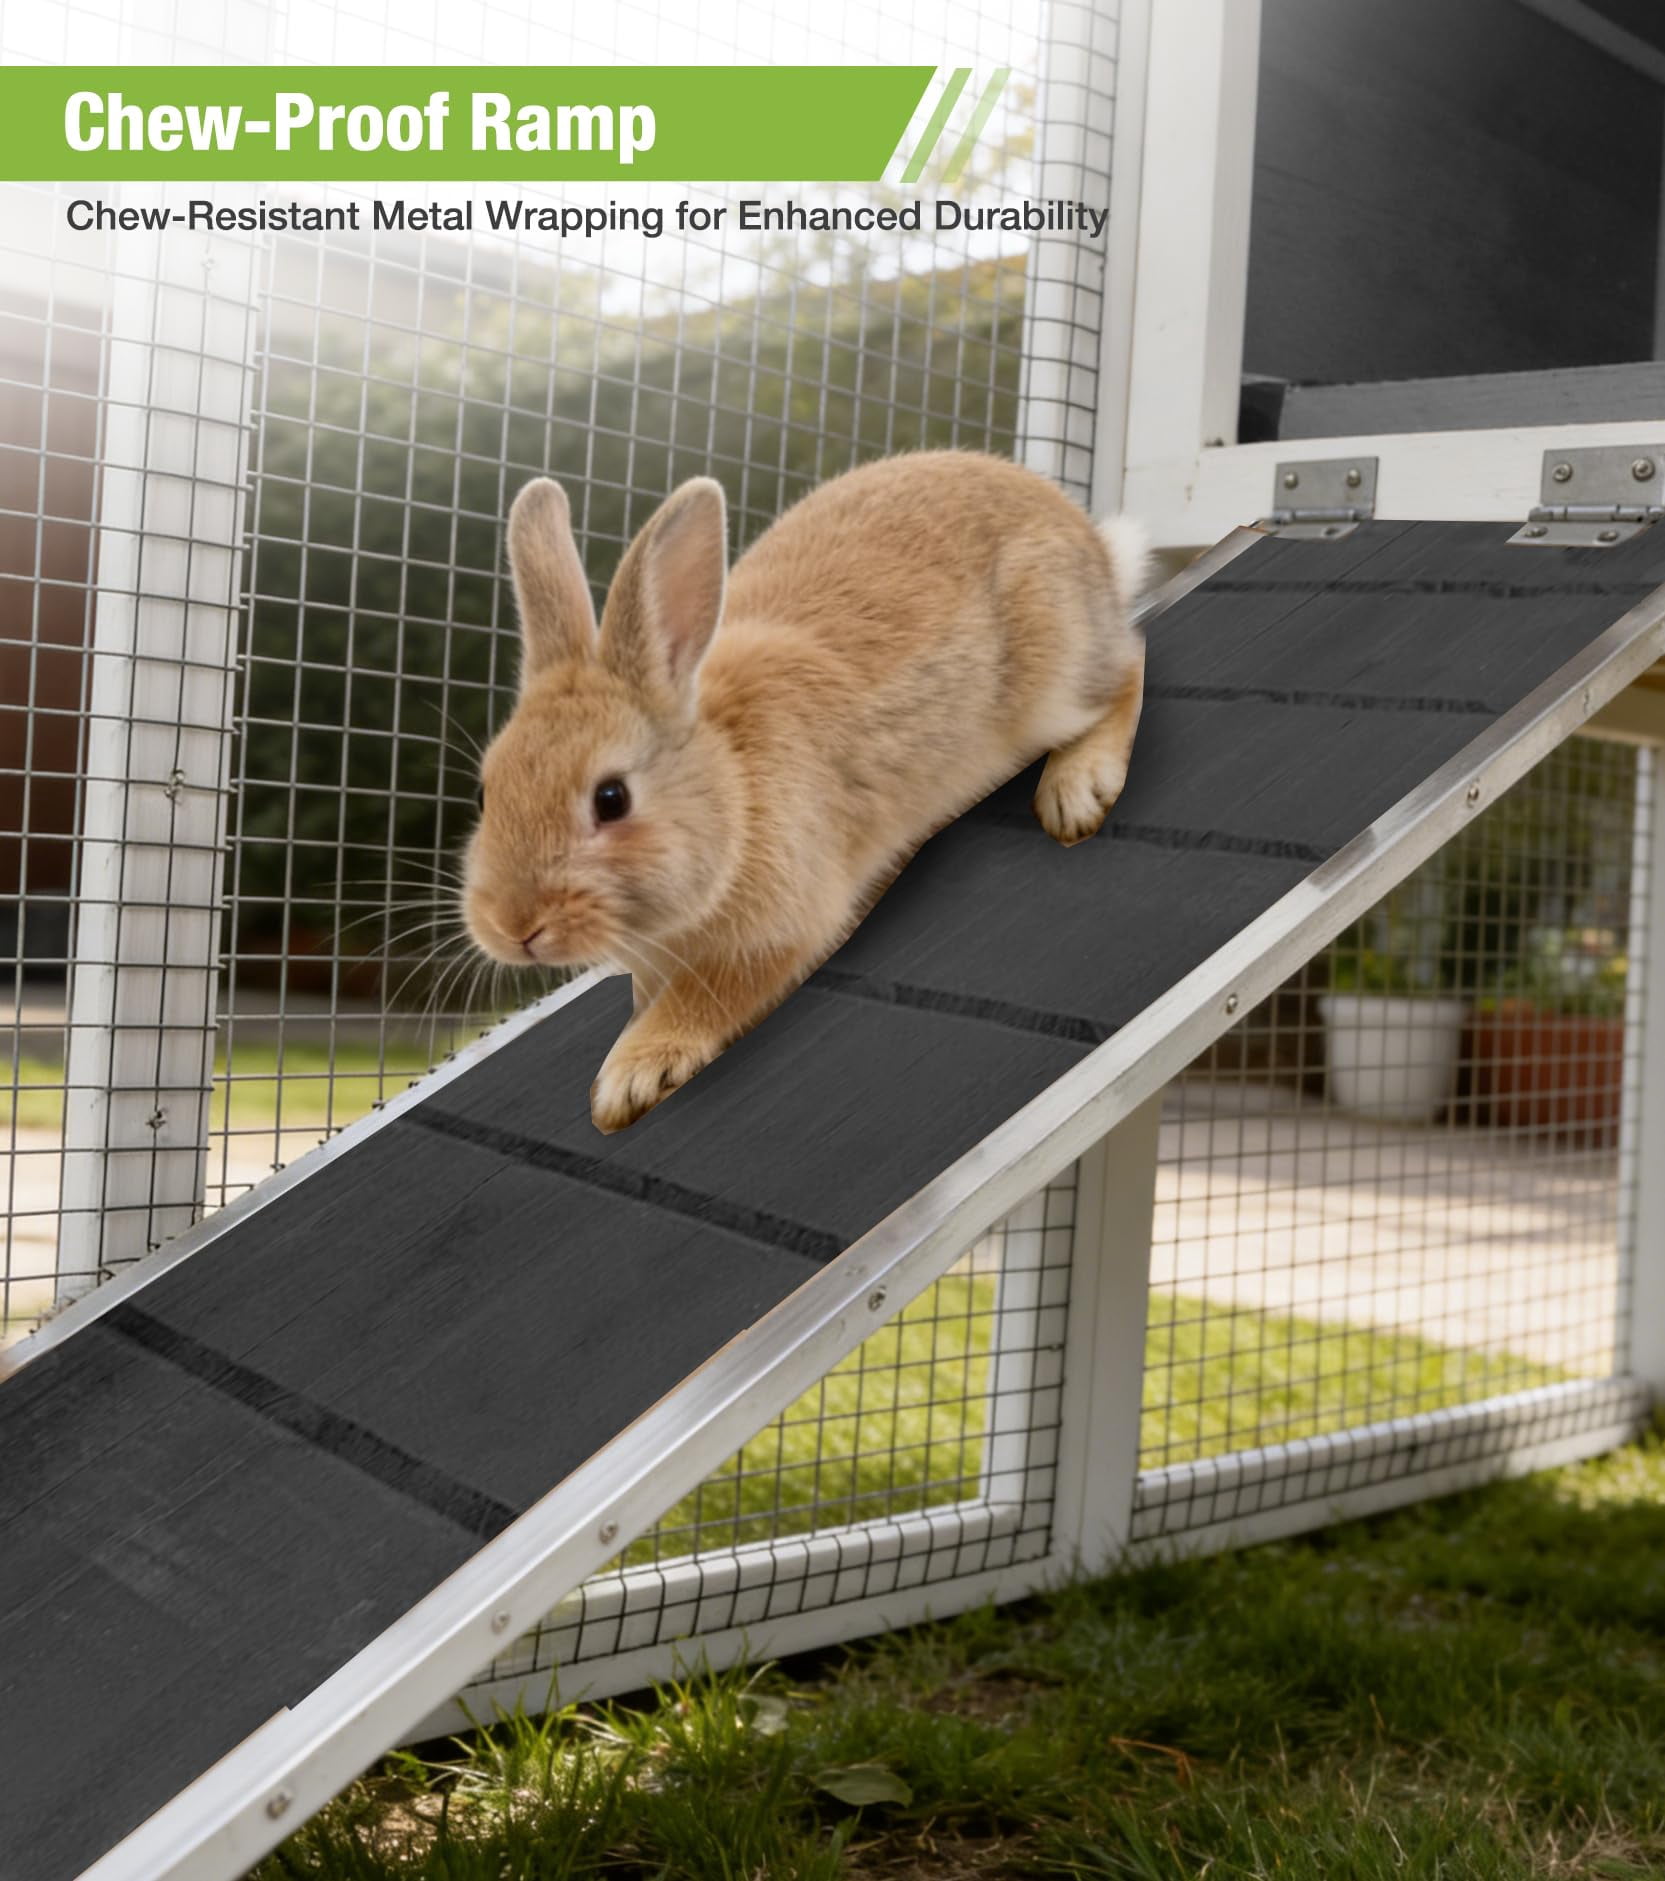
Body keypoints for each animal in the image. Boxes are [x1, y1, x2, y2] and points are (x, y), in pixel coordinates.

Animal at [464, 450, 1148, 1133]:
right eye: (485, 795)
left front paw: (628, 1079)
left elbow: (705, 1001)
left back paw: (1077, 791)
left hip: (1052, 678)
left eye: (611, 799)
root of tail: (1087, 539)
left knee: (1130, 666)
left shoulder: (777, 929)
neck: (733, 790)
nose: (513, 926)